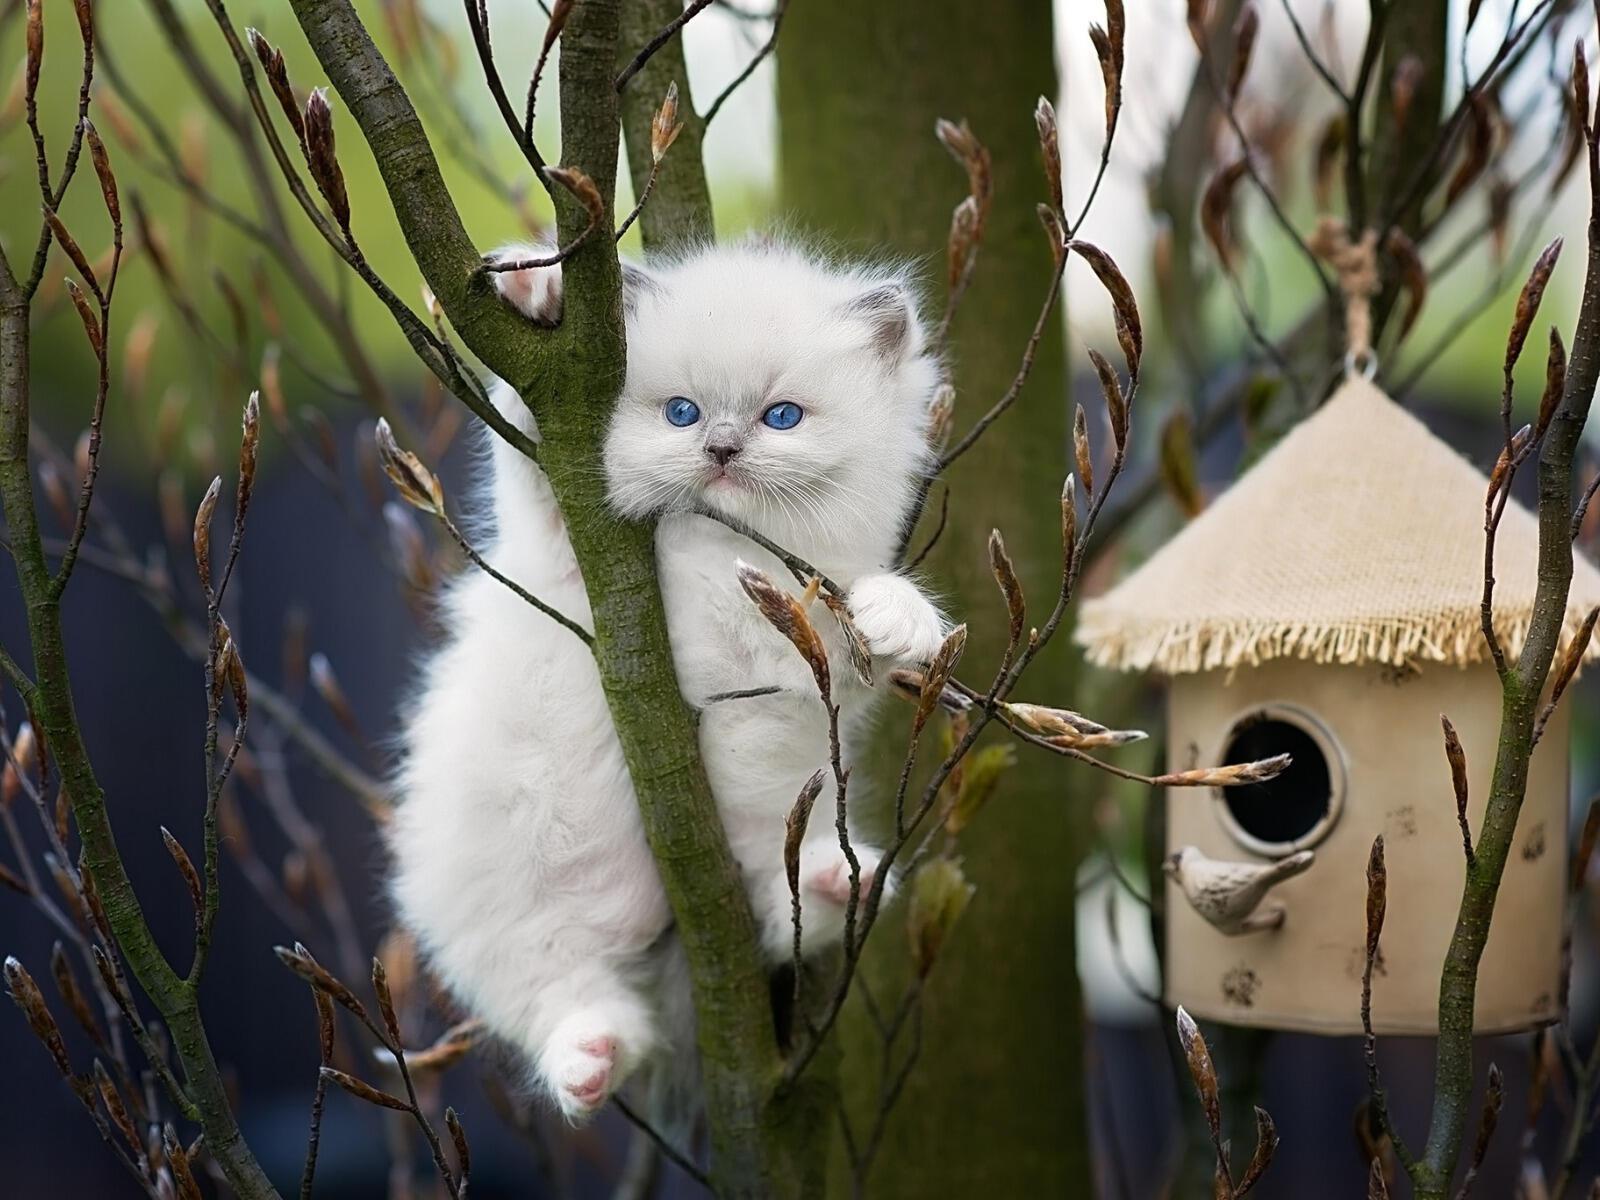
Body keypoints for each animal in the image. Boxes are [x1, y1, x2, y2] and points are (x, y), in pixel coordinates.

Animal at [388, 236, 947, 1126]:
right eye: (680, 413)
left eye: (781, 417)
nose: (719, 449)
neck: (720, 554)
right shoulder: (564, 532)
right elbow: (528, 445)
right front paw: (538, 288)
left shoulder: (808, 653)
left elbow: (861, 610)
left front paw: (901, 617)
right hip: (510, 911)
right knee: (563, 994)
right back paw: (586, 1064)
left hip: (776, 825)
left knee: (784, 904)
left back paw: (836, 881)